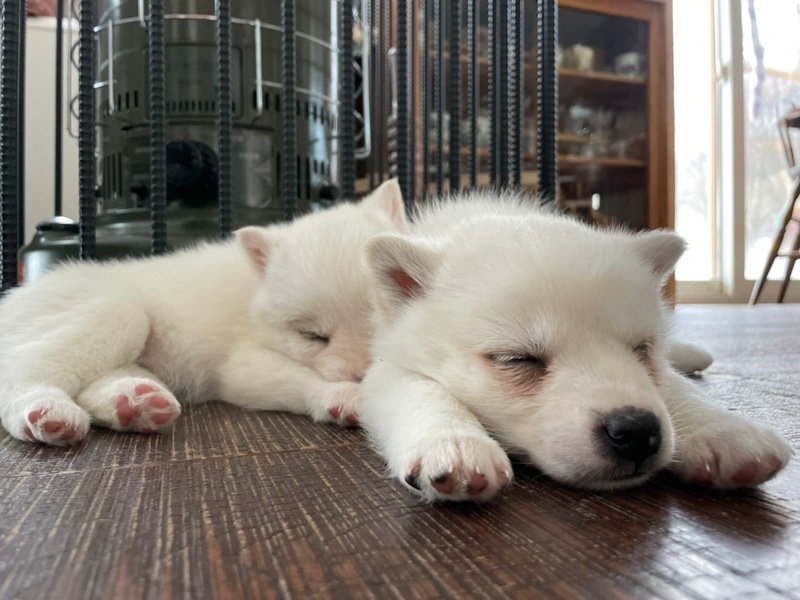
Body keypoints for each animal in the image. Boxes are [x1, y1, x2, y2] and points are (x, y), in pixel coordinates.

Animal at [0, 180, 406, 446]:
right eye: (313, 336)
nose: (362, 371)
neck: (253, 291)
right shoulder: (241, 364)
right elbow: (300, 378)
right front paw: (346, 394)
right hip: (111, 312)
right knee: (21, 372)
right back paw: (44, 409)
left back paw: (134, 402)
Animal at [360, 193, 793, 501]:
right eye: (518, 359)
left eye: (642, 348)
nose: (637, 430)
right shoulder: (385, 366)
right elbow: (422, 391)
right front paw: (455, 443)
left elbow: (675, 388)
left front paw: (724, 431)